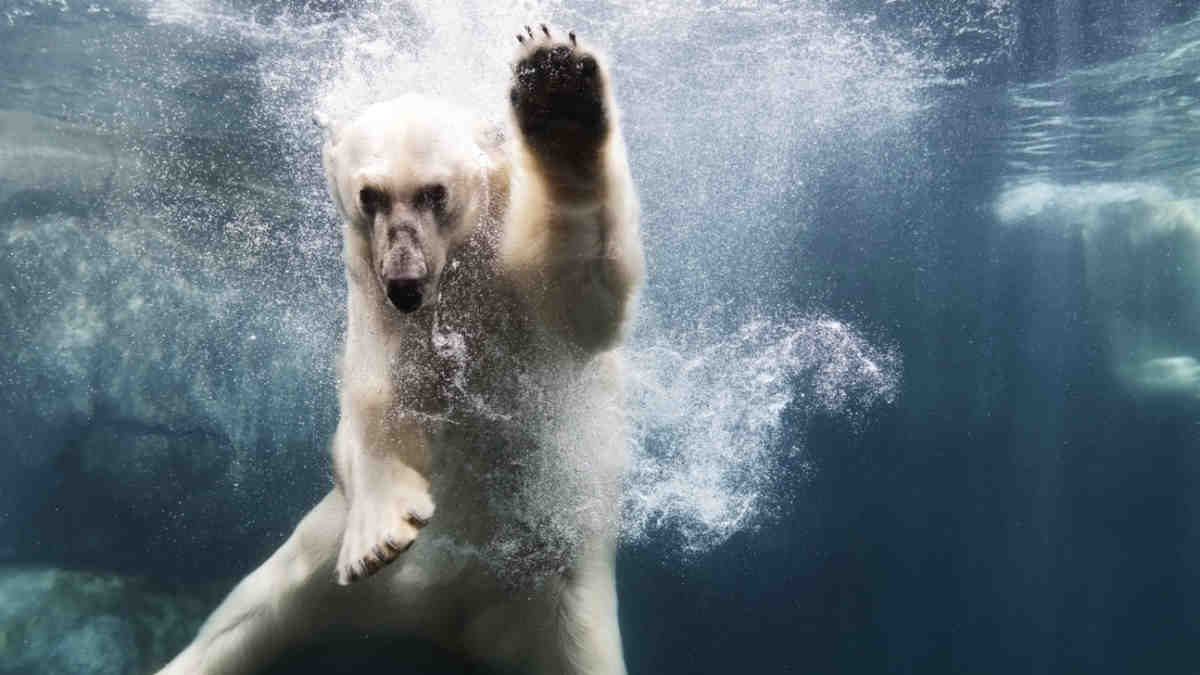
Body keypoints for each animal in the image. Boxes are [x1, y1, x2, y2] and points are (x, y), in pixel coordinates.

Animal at [162, 26, 648, 672]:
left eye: (435, 192)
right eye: (369, 195)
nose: (406, 284)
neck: (458, 278)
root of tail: (439, 611)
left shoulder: (522, 299)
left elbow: (582, 293)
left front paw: (557, 88)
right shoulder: (375, 303)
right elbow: (377, 394)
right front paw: (378, 536)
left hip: (558, 598)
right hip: (321, 553)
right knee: (247, 614)